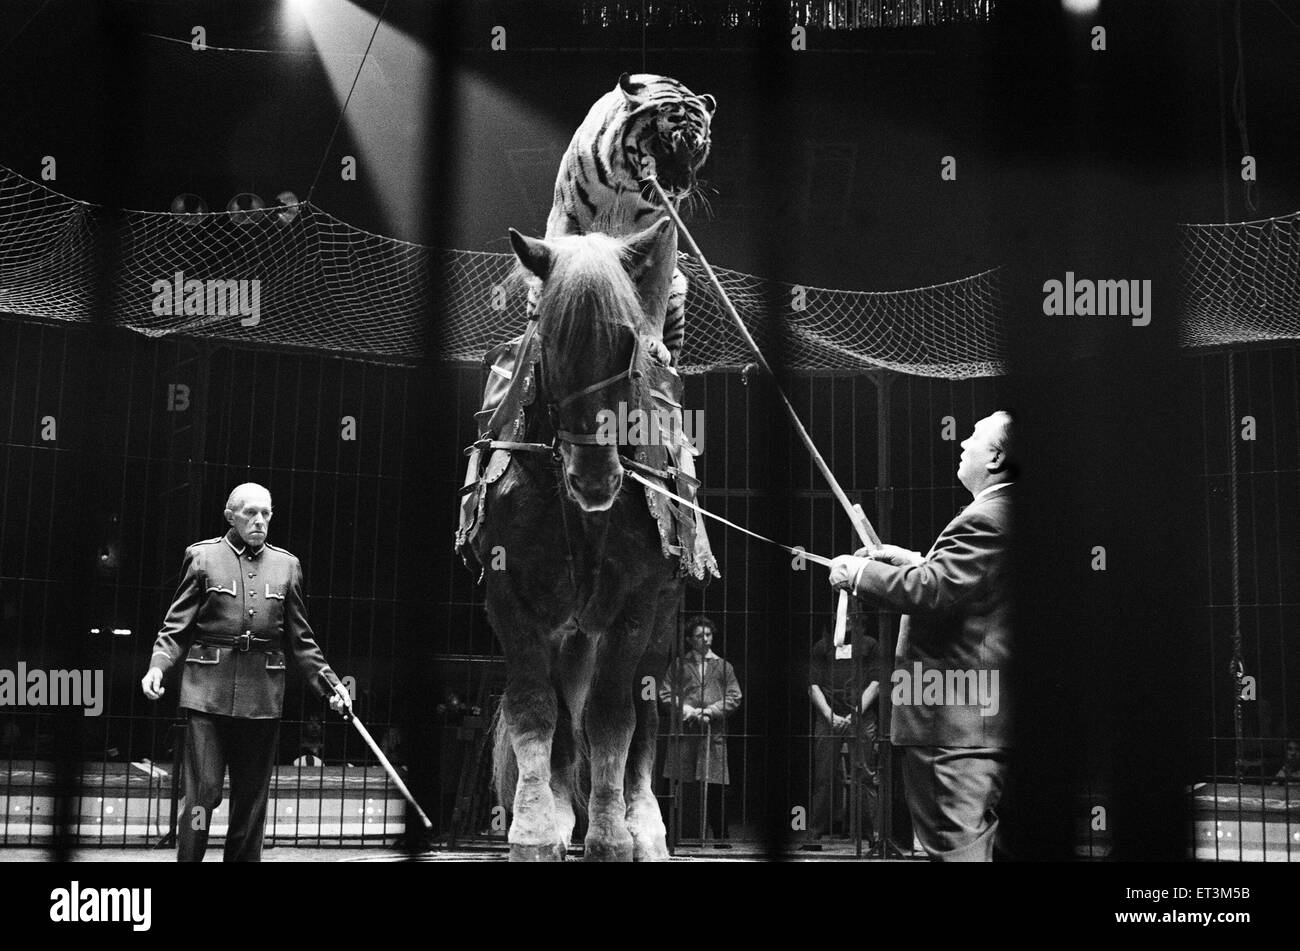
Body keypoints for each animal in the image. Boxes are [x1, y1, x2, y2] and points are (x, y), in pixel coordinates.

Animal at [478, 219, 681, 857]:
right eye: (552, 339)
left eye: (627, 342)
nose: (595, 478)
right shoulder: (511, 596)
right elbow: (535, 710)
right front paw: (535, 829)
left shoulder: (636, 605)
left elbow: (614, 716)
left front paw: (613, 835)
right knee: (564, 715)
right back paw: (565, 809)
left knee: (645, 713)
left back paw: (644, 824)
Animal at [525, 70, 717, 366]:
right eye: (664, 143)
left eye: (697, 150)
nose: (681, 187)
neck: (626, 184)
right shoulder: (566, 214)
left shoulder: (665, 233)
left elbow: (654, 293)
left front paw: (652, 343)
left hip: (678, 286)